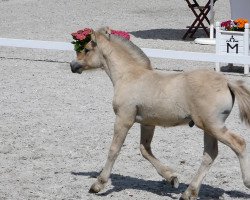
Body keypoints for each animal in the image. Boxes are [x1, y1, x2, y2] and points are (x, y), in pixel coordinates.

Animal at [70, 27, 250, 198]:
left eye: (86, 49)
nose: (73, 66)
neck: (129, 76)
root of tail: (227, 82)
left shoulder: (123, 118)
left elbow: (114, 150)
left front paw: (98, 185)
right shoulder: (147, 123)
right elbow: (145, 149)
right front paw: (172, 179)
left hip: (212, 125)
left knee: (239, 143)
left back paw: (246, 182)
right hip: (208, 127)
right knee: (210, 154)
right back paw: (189, 193)